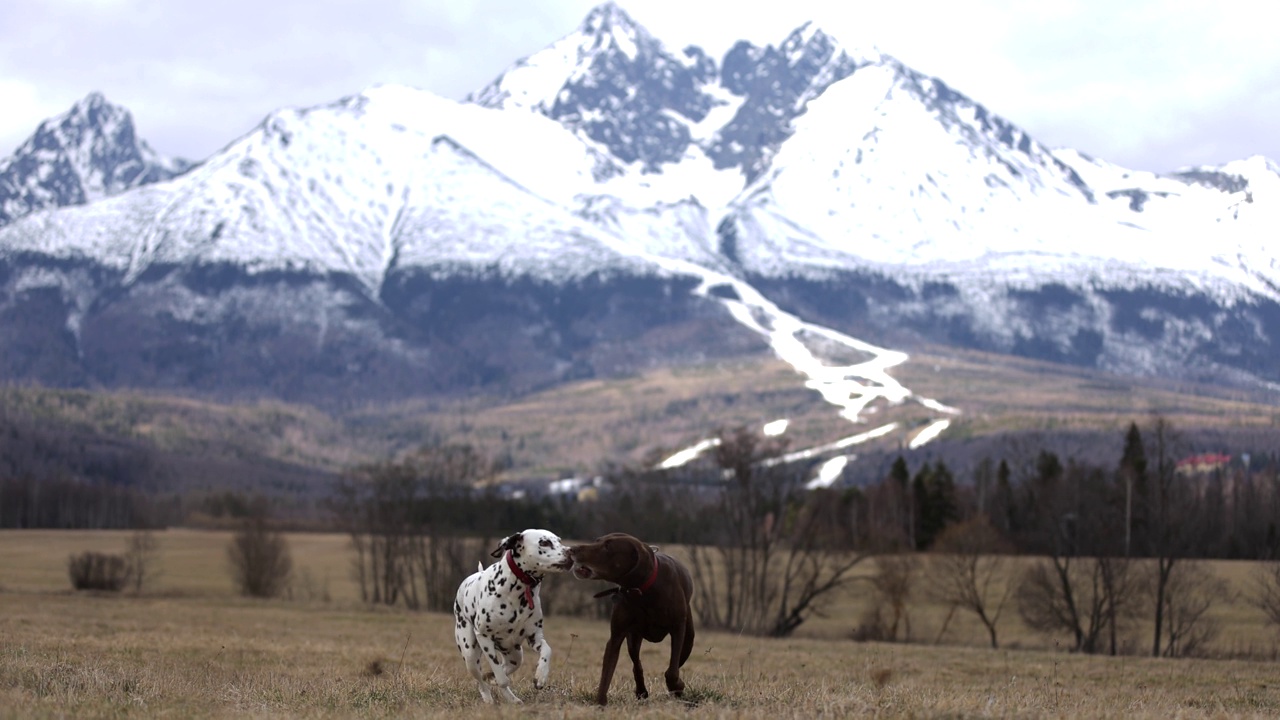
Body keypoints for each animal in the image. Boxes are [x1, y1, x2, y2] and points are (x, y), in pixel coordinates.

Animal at [450, 527, 570, 702]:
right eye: (544, 542)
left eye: (559, 541)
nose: (571, 552)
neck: (517, 592)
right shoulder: (484, 637)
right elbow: (501, 678)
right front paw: (501, 688)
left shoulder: (534, 637)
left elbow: (547, 650)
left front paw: (540, 676)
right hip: (470, 653)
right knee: (481, 680)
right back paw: (489, 698)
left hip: (515, 654)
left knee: (506, 667)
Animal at [568, 530, 696, 702]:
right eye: (597, 541)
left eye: (608, 547)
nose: (571, 549)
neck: (643, 590)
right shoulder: (617, 635)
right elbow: (606, 675)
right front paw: (600, 703)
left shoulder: (678, 629)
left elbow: (672, 670)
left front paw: (677, 686)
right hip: (633, 638)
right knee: (637, 663)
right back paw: (641, 691)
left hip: (688, 638)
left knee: (676, 663)